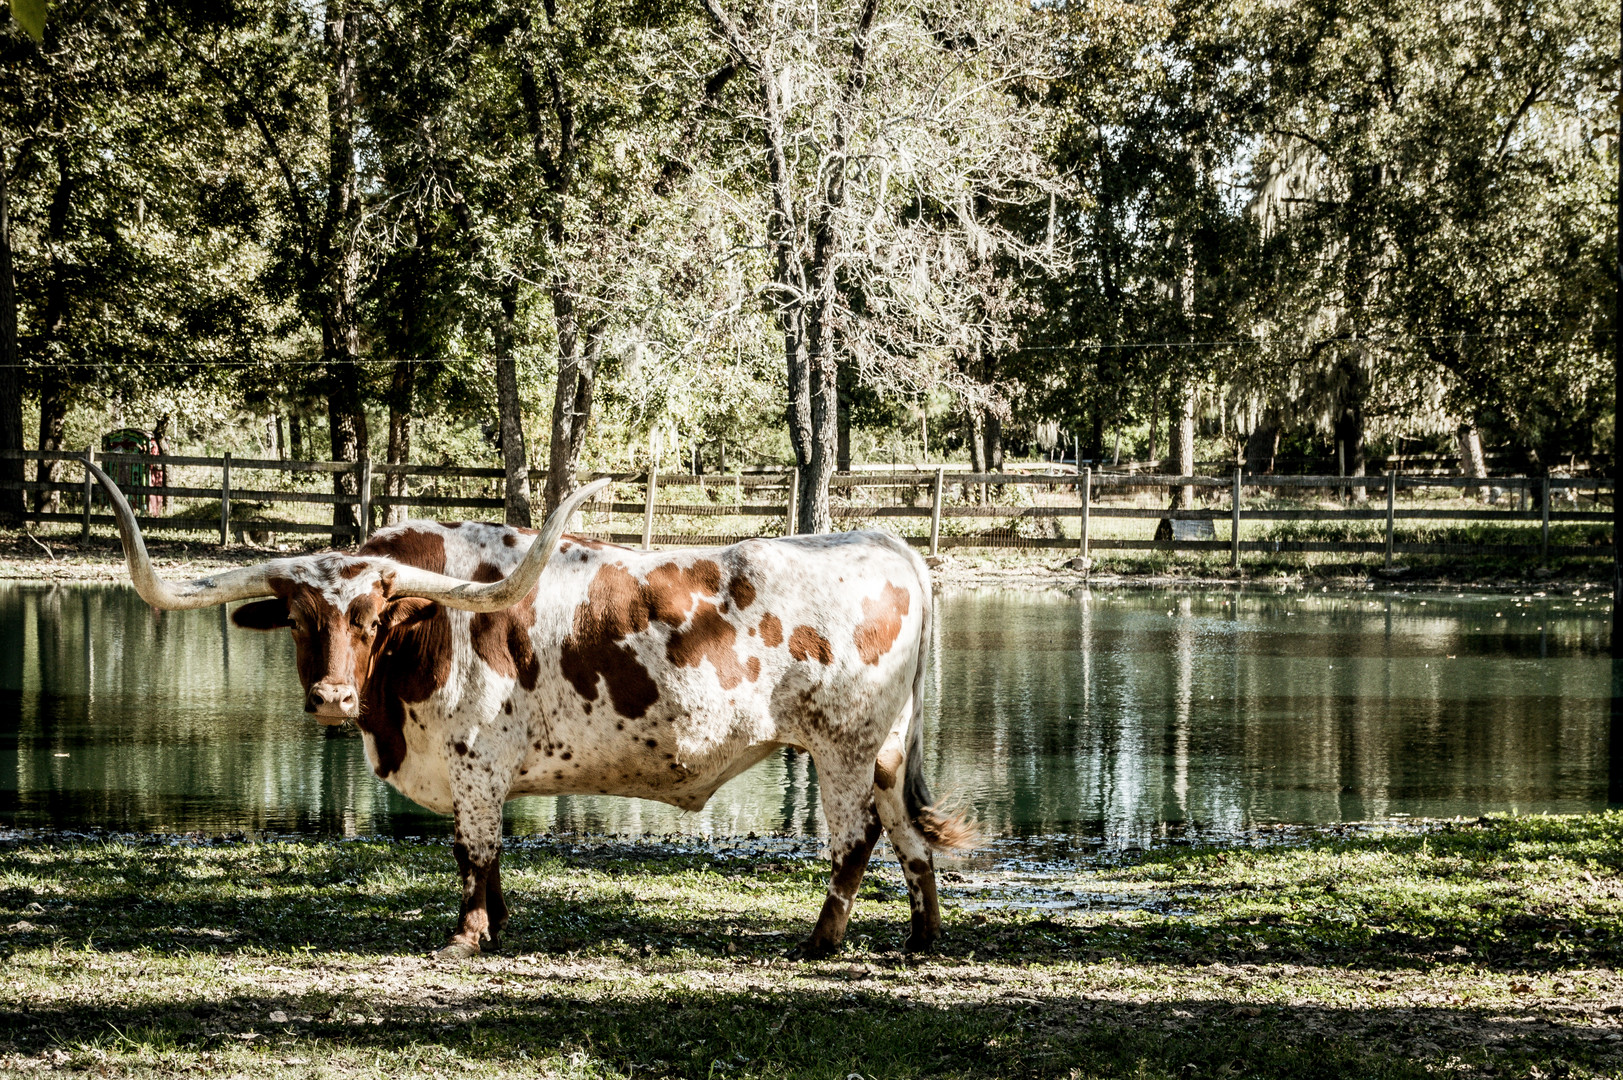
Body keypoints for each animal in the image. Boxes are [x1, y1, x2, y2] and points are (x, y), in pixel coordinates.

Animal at [88, 467, 967, 954]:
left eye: (372, 618)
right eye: (302, 622)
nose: (332, 697)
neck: (429, 626)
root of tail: (884, 544)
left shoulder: (476, 758)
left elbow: (472, 849)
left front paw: (465, 937)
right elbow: (487, 857)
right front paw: (498, 925)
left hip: (840, 744)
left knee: (855, 839)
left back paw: (819, 942)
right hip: (885, 746)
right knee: (908, 835)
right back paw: (921, 937)